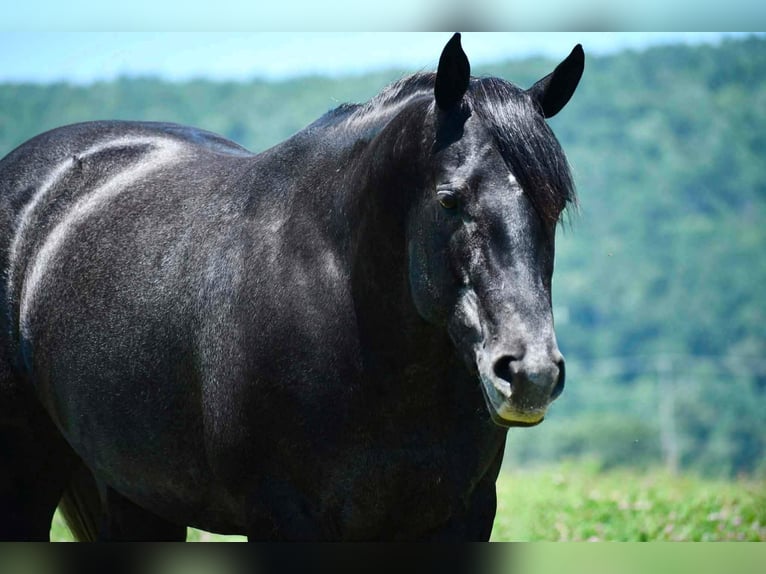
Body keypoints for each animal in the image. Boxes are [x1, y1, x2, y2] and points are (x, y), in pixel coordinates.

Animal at [0, 34, 583, 541]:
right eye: (448, 198)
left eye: (554, 204)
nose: (529, 374)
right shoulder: (284, 521)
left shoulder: (462, 517)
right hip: (29, 476)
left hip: (135, 493)